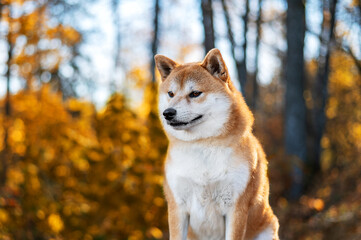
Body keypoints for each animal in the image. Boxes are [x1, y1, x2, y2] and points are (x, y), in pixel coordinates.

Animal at [154, 49, 278, 240]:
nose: (168, 113)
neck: (202, 145)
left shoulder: (236, 208)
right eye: (171, 94)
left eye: (195, 93)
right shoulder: (177, 207)